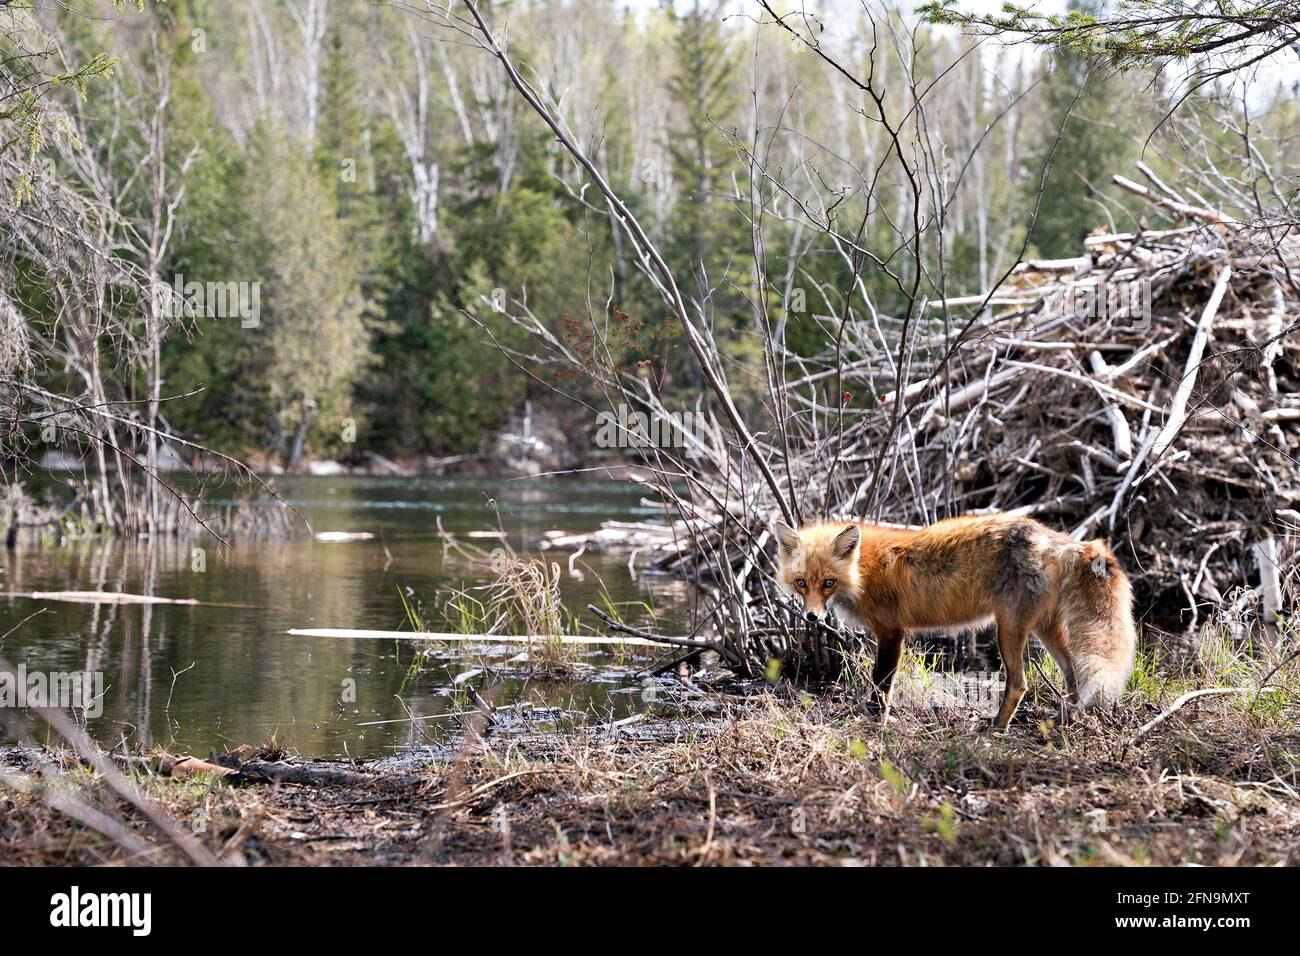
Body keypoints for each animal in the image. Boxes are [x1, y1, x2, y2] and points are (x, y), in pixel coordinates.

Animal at [774, 515, 1133, 723]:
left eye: (828, 583)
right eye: (802, 583)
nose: (811, 616)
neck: (863, 570)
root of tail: (1059, 541)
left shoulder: (891, 632)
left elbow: (881, 686)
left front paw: (875, 722)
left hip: (1008, 628)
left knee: (1019, 684)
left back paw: (995, 729)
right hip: (1044, 629)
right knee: (1072, 676)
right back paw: (1066, 719)